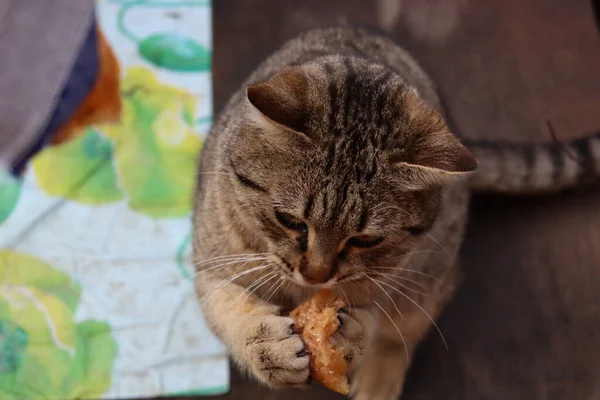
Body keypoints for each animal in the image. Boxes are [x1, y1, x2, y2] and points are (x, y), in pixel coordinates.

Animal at [193, 26, 600, 398]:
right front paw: (262, 345)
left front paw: (351, 339)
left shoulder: (399, 278)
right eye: (290, 220)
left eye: (366, 240)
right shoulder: (208, 260)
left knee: (405, 326)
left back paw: (378, 383)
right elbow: (225, 306)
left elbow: (377, 315)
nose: (316, 275)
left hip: (432, 273)